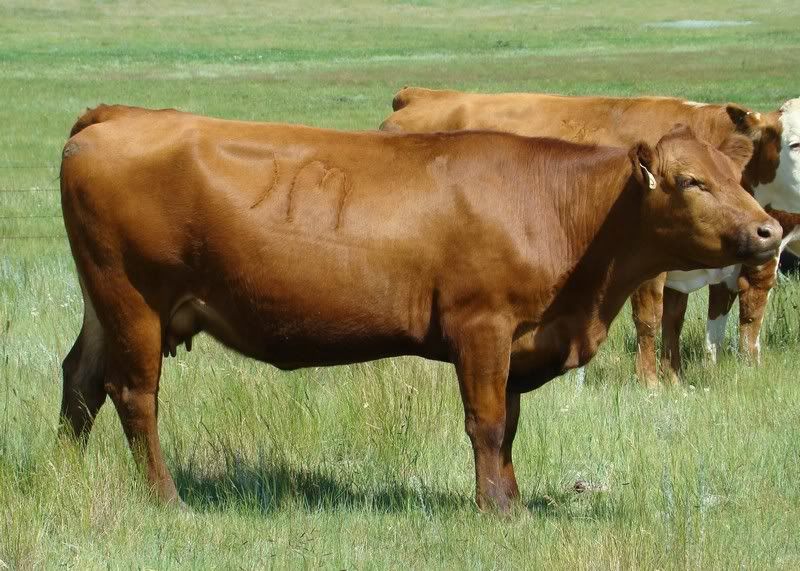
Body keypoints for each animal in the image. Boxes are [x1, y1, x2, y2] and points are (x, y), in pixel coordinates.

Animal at [59, 105, 779, 511]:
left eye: (737, 176)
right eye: (691, 181)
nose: (771, 230)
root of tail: (120, 113)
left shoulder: (516, 339)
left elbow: (509, 427)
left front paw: (512, 499)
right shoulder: (481, 326)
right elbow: (487, 424)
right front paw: (498, 511)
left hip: (104, 305)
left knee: (80, 382)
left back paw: (60, 473)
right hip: (133, 299)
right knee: (134, 394)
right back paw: (167, 498)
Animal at [381, 87, 800, 385]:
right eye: (794, 143)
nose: (771, 228)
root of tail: (421, 95)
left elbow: (689, 322)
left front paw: (680, 380)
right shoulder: (648, 271)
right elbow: (651, 320)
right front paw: (650, 384)